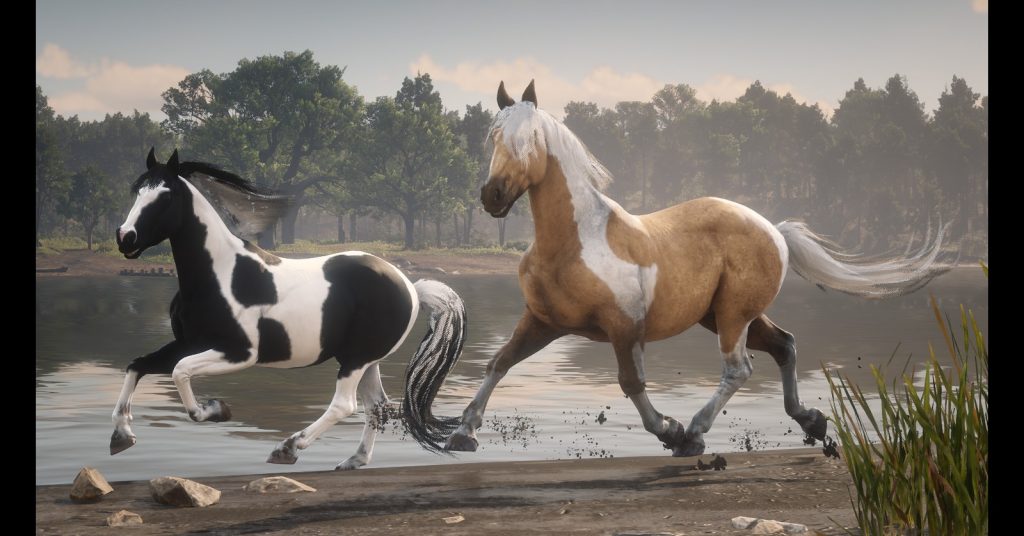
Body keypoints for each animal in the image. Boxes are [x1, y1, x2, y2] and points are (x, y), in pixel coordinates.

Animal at [110, 148, 465, 470]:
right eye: (137, 191)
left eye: (165, 196)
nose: (126, 238)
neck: (218, 275)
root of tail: (412, 288)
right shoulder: (188, 342)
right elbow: (137, 365)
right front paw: (122, 436)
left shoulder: (239, 353)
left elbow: (180, 372)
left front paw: (215, 409)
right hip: (367, 361)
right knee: (376, 406)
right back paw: (353, 460)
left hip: (355, 359)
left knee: (345, 405)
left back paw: (288, 448)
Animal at [444, 81, 954, 457]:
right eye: (493, 137)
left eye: (528, 140)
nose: (492, 196)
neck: (573, 243)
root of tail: (773, 229)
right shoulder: (542, 321)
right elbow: (498, 362)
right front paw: (462, 433)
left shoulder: (623, 327)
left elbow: (632, 382)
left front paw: (669, 430)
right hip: (725, 315)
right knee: (785, 345)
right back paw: (811, 420)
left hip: (732, 316)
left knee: (739, 369)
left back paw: (694, 433)